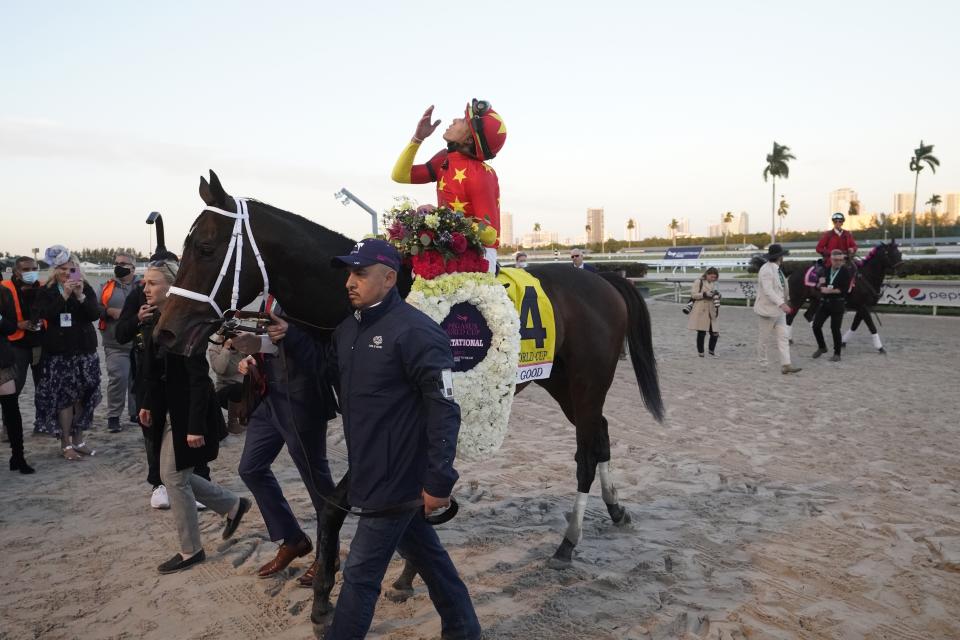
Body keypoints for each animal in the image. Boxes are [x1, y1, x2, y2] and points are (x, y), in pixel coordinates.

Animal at [156, 170, 668, 620]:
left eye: (204, 248)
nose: (165, 331)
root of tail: (604, 279)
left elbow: (339, 503)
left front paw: (326, 591)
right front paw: (405, 573)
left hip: (585, 383)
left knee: (585, 452)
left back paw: (569, 541)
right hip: (563, 384)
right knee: (600, 435)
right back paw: (616, 509)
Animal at [780, 241, 908, 352]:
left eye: (900, 253)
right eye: (889, 253)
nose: (902, 270)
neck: (865, 276)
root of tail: (793, 273)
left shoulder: (863, 307)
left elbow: (855, 325)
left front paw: (843, 342)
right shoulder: (863, 306)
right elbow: (871, 326)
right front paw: (880, 347)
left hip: (815, 300)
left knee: (808, 315)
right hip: (798, 299)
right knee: (790, 317)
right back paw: (788, 339)